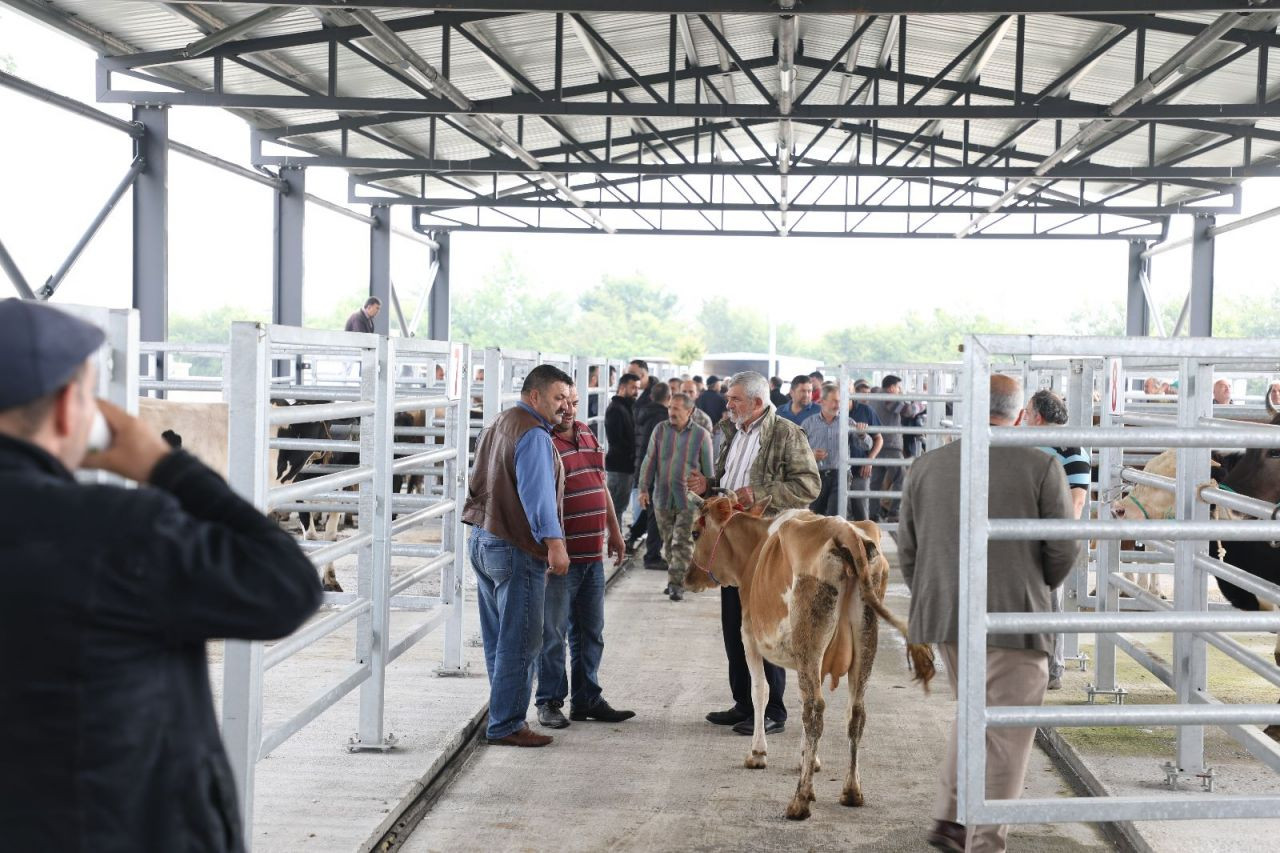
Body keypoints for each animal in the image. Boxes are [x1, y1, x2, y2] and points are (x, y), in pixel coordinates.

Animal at [686, 491, 936, 819]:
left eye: (695, 533)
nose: (687, 577)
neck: (754, 551)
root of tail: (846, 531)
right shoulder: (801, 654)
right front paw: (809, 759)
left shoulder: (750, 636)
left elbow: (760, 691)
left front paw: (758, 753)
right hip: (863, 637)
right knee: (854, 711)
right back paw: (851, 791)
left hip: (811, 635)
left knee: (814, 710)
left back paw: (800, 800)